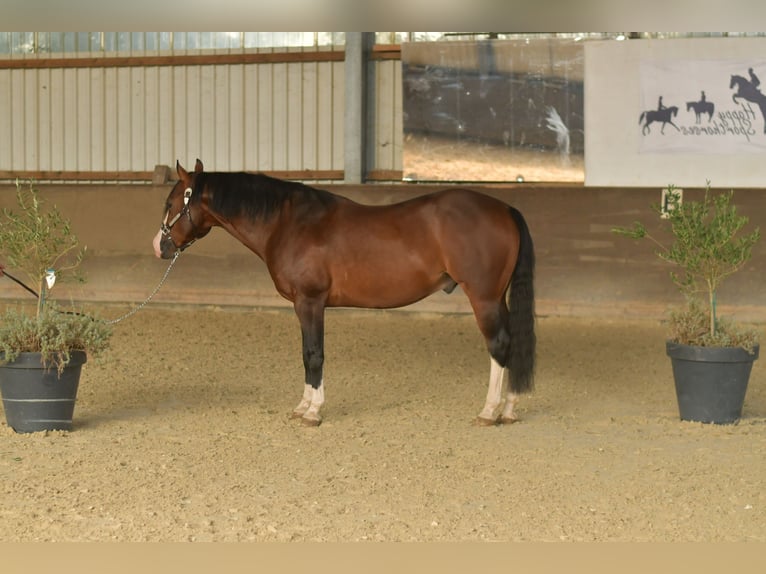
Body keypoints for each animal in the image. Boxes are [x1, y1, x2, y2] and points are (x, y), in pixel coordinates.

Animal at [153, 160, 536, 427]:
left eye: (171, 202)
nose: (159, 246)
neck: (288, 223)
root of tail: (504, 209)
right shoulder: (304, 305)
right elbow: (305, 354)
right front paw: (302, 407)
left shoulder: (310, 302)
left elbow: (313, 354)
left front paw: (312, 412)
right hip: (496, 298)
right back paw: (510, 409)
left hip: (483, 298)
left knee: (499, 345)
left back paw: (489, 411)